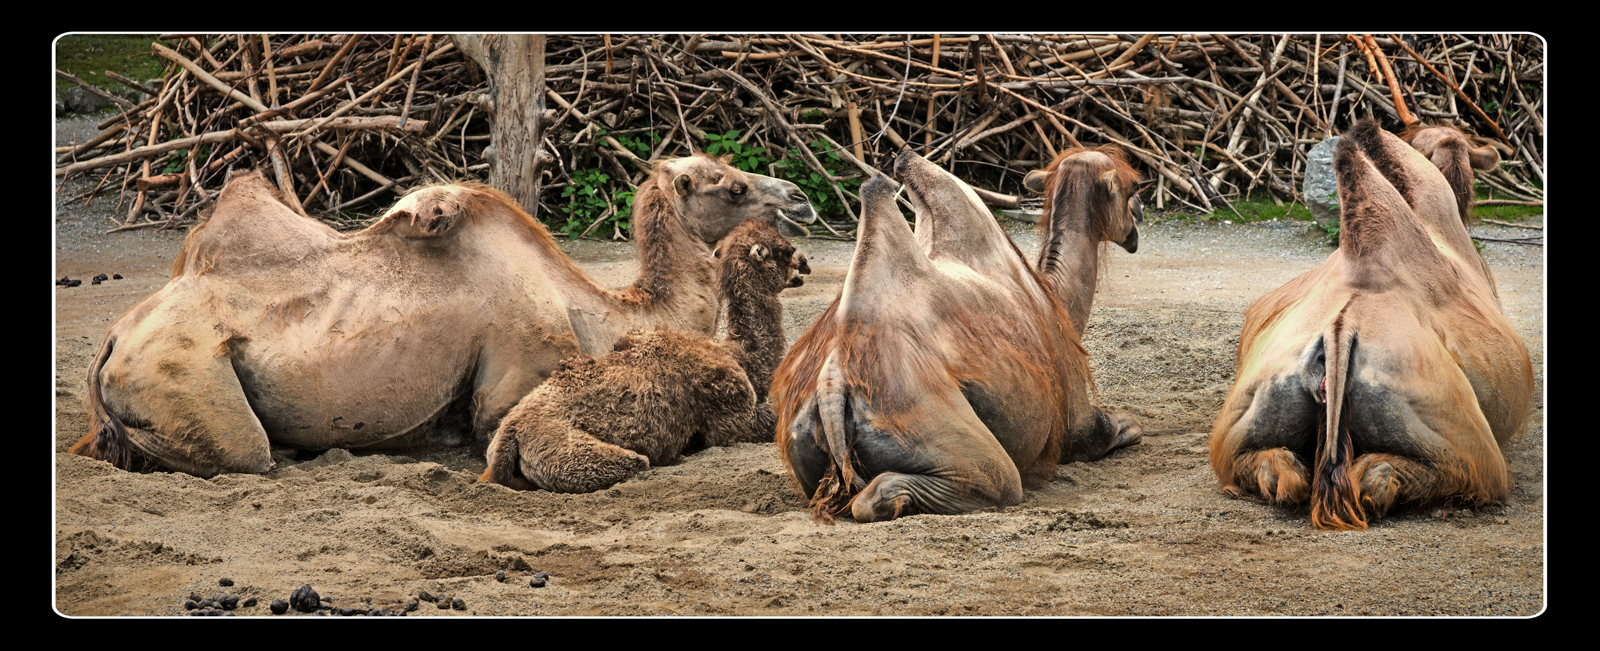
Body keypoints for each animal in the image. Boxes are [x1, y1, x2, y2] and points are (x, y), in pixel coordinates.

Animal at [478, 219, 810, 493]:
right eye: (784, 250)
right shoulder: (732, 414)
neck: (736, 354)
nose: (805, 263)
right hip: (574, 453)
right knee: (636, 462)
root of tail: (511, 432)